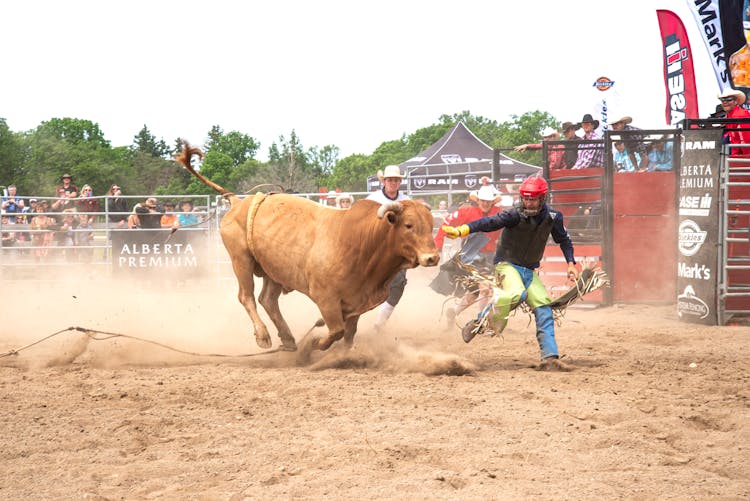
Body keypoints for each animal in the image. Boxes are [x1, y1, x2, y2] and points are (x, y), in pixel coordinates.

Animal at [176, 143, 440, 350]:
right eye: (408, 225)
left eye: (430, 224)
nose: (432, 258)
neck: (362, 241)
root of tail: (238, 202)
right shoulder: (326, 298)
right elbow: (336, 330)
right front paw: (317, 344)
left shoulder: (356, 303)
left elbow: (349, 333)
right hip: (240, 259)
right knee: (247, 296)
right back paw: (264, 336)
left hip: (273, 269)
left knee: (267, 300)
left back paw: (288, 338)